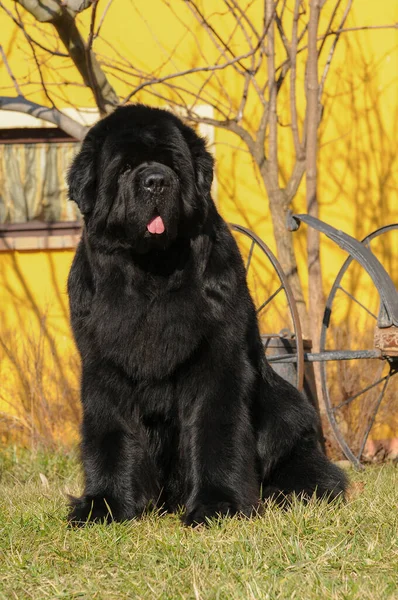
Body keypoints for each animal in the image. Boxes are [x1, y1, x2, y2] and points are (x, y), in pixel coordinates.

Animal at [67, 104, 346, 524]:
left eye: (173, 164)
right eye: (126, 166)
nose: (156, 181)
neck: (152, 272)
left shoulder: (218, 358)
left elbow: (216, 427)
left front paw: (219, 504)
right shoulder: (104, 365)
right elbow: (110, 430)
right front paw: (105, 504)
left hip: (287, 410)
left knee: (310, 470)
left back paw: (281, 494)